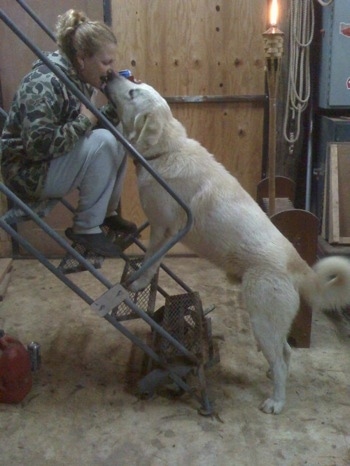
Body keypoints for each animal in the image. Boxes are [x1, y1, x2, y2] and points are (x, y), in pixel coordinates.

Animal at [105, 74, 350, 414]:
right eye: (135, 83)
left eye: (132, 92)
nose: (109, 75)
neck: (168, 150)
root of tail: (298, 265)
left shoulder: (163, 230)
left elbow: (151, 262)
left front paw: (138, 281)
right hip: (269, 326)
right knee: (285, 353)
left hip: (261, 321)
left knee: (282, 360)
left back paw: (276, 402)